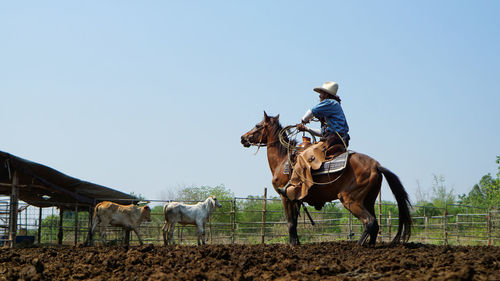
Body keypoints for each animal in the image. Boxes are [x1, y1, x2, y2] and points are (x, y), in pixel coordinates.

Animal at [240, 112, 412, 244]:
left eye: (257, 125)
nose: (243, 138)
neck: (283, 160)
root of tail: (376, 165)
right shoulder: (296, 199)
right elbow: (294, 223)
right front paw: (297, 244)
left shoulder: (286, 197)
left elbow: (290, 223)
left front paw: (292, 245)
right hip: (368, 200)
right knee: (375, 225)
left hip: (350, 199)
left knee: (369, 222)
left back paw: (358, 246)